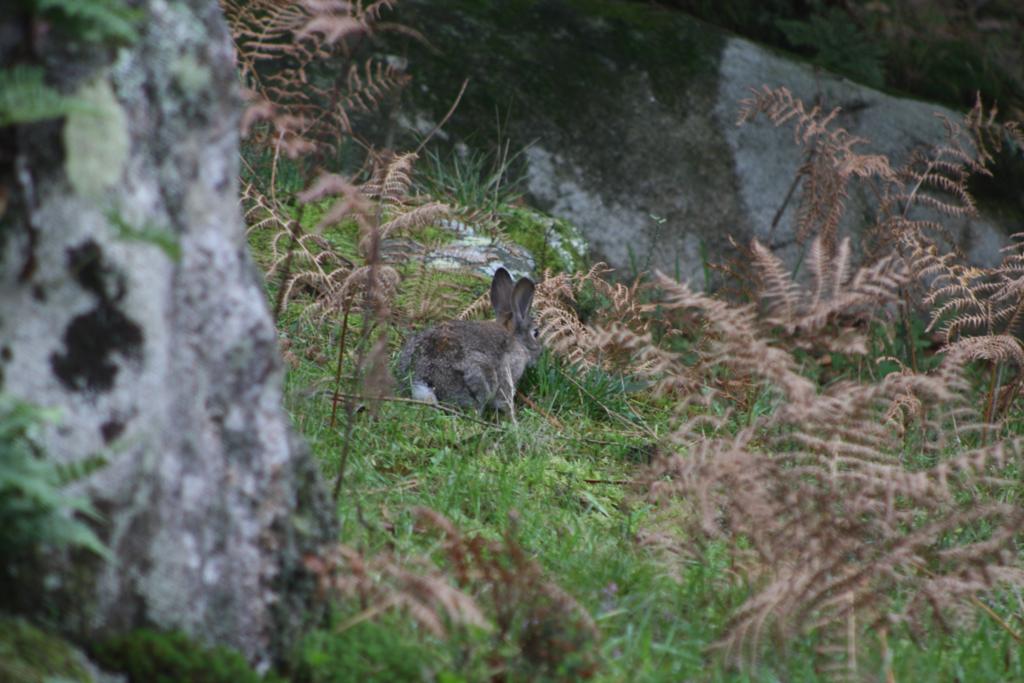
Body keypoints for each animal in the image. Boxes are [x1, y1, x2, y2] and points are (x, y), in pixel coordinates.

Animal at [397, 267, 541, 414]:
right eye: (536, 333)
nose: (540, 353)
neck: (516, 340)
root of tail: (423, 379)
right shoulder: (507, 372)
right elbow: (504, 398)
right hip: (480, 377)